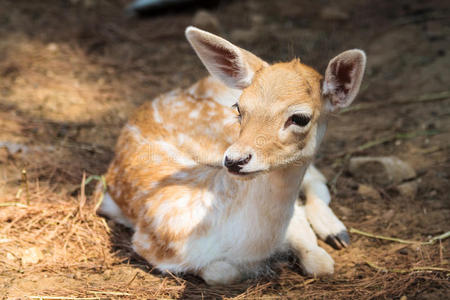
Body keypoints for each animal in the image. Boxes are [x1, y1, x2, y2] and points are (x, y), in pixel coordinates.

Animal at [98, 25, 366, 284]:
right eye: (239, 107)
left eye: (300, 117)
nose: (235, 160)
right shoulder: (147, 243)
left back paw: (336, 232)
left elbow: (321, 263)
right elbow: (222, 273)